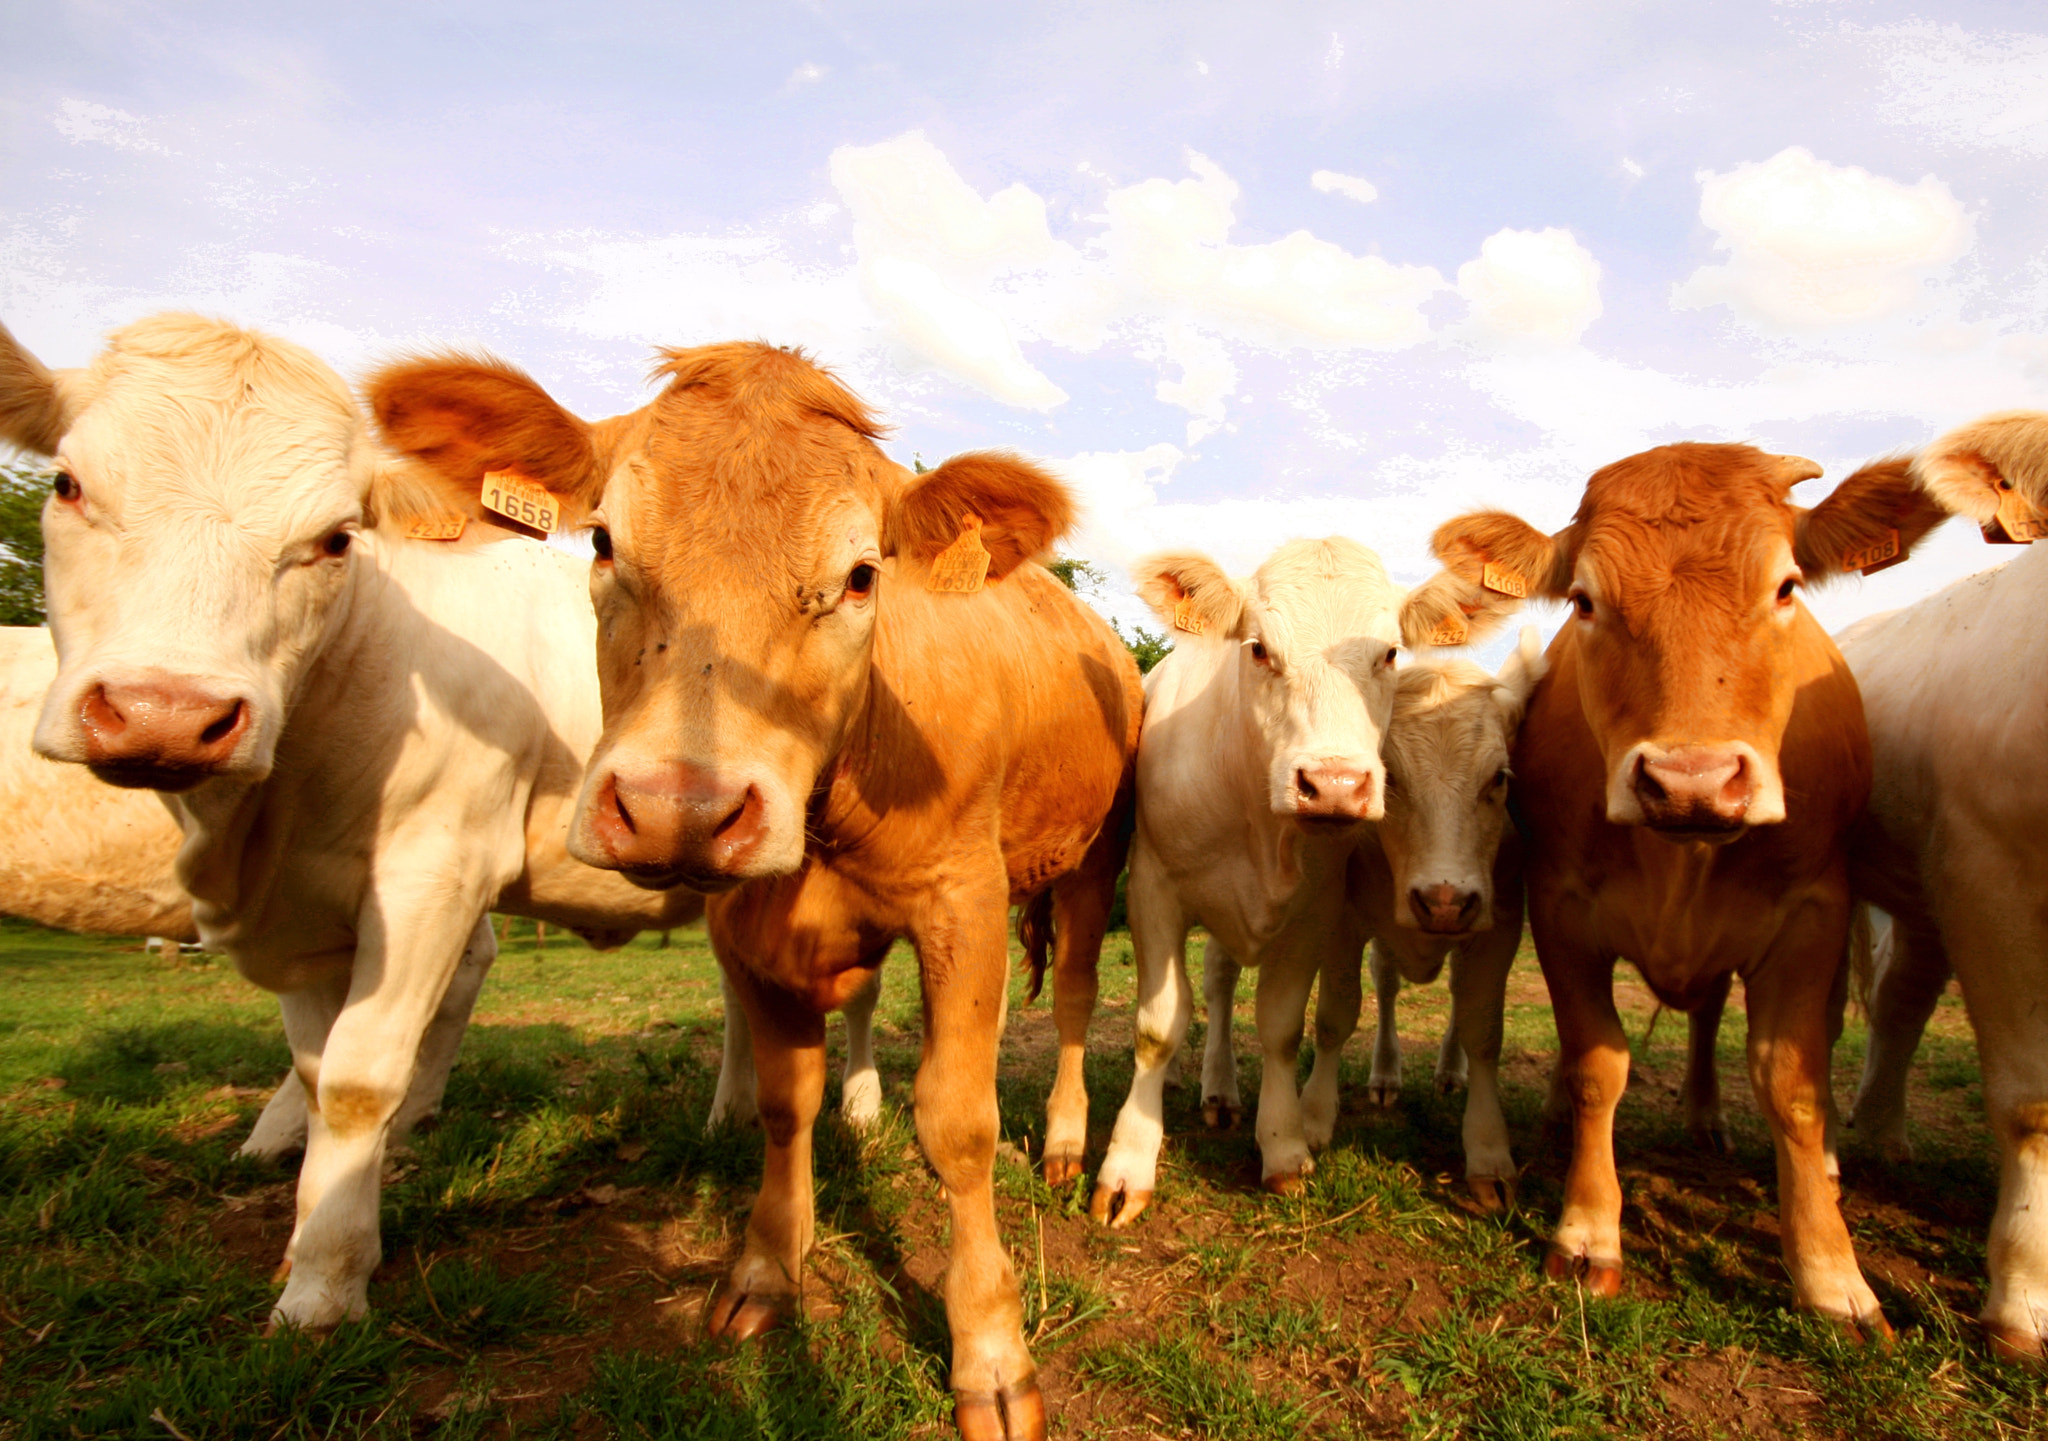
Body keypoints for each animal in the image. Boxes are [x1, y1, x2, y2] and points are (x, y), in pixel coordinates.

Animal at [0, 315, 704, 1326]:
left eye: (334, 538)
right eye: (67, 485)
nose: (163, 711)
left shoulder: (434, 871)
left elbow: (359, 1078)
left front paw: (326, 1283)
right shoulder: (302, 908)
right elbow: (314, 1068)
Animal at [368, 339, 1138, 1441]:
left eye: (861, 574)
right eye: (603, 541)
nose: (675, 806)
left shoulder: (963, 898)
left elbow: (960, 1121)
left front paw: (991, 1354)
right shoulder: (750, 924)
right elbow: (785, 1101)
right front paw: (769, 1263)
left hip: (1092, 856)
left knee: (1073, 992)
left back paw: (1072, 1143)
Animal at [1196, 634, 1540, 1211]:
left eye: (1500, 778)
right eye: (1392, 777)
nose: (1444, 900)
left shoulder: (1500, 921)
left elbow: (1484, 1031)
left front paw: (1489, 1152)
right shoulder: (1342, 919)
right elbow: (1336, 1017)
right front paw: (1313, 1117)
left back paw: (1430, 1073)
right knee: (1221, 978)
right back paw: (1220, 1088)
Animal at [1433, 442, 1941, 1342]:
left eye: (1785, 587)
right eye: (1584, 600)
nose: (1691, 779)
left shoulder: (1814, 913)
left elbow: (1792, 1085)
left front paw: (1832, 1274)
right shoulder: (1563, 911)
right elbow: (1596, 1063)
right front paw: (1588, 1231)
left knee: (1718, 1021)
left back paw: (1727, 1126)